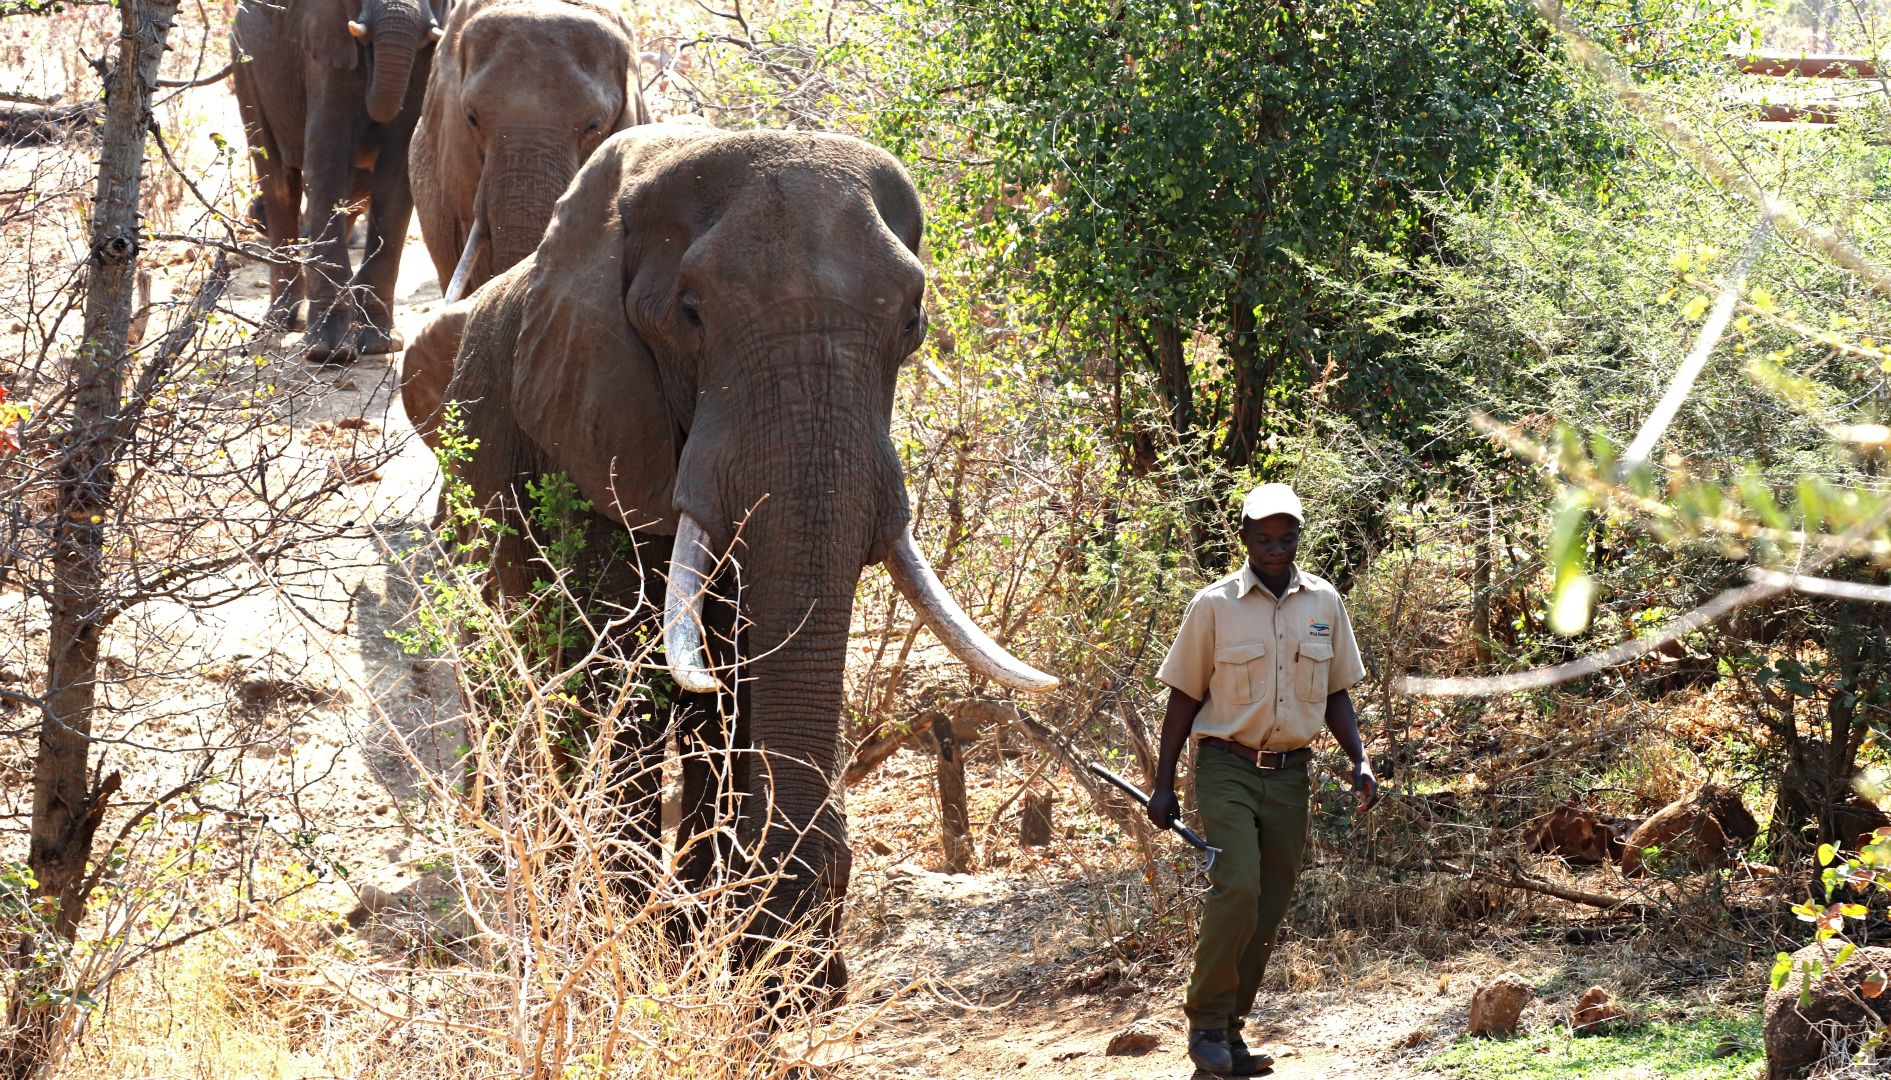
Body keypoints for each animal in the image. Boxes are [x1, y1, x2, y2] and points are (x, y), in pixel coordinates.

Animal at [231, 0, 444, 365]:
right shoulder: (323, 44)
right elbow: (326, 163)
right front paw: (329, 353)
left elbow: (398, 172)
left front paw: (379, 346)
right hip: (245, 63)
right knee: (279, 183)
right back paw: (284, 322)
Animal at [442, 124, 1059, 990]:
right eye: (690, 315)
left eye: (911, 323)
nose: (816, 981)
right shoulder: (589, 420)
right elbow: (626, 667)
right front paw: (634, 956)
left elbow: (735, 671)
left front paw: (730, 959)